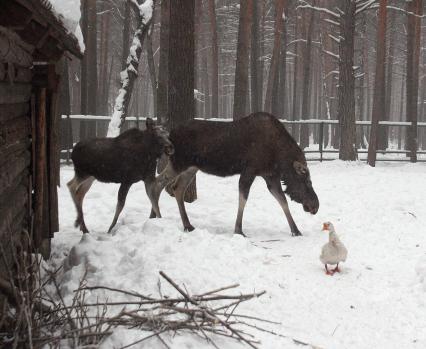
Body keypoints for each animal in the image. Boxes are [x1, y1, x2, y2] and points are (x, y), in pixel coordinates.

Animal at [150, 113, 320, 235]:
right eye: (307, 181)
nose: (315, 205)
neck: (280, 156)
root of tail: (171, 134)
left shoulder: (270, 176)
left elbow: (283, 200)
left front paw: (295, 230)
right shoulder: (250, 170)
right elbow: (243, 198)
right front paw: (238, 230)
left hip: (191, 167)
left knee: (176, 187)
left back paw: (186, 224)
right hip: (179, 162)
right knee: (157, 183)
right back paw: (157, 216)